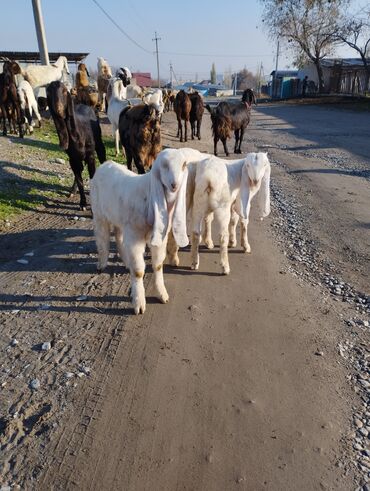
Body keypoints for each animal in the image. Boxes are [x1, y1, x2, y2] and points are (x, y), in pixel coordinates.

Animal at [47, 80, 106, 209]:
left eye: (65, 91)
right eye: (48, 92)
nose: (59, 110)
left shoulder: (90, 156)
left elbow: (92, 176)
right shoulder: (72, 159)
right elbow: (79, 181)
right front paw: (83, 203)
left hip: (99, 143)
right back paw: (73, 191)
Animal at [89, 148, 188, 316]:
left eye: (183, 165)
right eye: (164, 165)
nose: (175, 185)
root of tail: (105, 164)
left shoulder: (158, 237)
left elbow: (158, 265)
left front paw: (162, 294)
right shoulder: (136, 237)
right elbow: (138, 272)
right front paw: (139, 303)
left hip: (121, 221)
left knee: (119, 238)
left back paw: (126, 262)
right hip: (99, 213)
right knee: (102, 238)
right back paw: (101, 263)